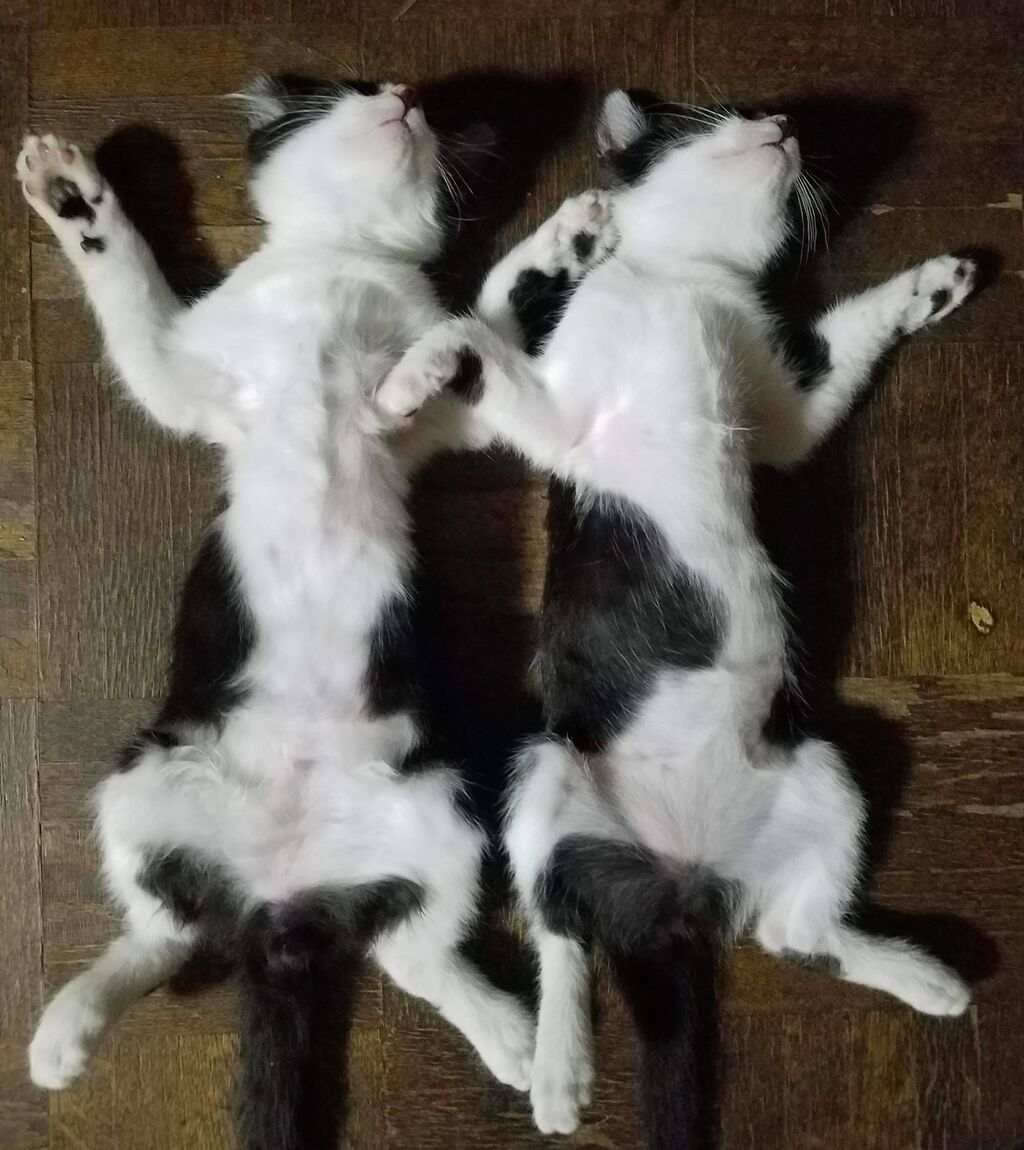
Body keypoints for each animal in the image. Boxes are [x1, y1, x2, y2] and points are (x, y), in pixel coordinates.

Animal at [19, 77, 537, 1149]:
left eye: (430, 120)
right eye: (349, 89)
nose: (402, 96)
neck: (337, 261)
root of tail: (281, 905)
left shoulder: (438, 422)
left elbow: (477, 330)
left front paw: (573, 239)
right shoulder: (189, 375)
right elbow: (133, 298)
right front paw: (72, 193)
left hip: (444, 805)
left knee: (411, 951)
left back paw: (510, 1034)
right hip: (147, 778)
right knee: (161, 931)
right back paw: (68, 1028)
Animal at [377, 90, 979, 1147]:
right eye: (712, 115)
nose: (781, 121)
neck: (681, 278)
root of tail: (679, 882)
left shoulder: (784, 418)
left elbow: (839, 345)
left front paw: (929, 288)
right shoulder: (561, 423)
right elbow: (468, 336)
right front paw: (407, 378)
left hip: (820, 771)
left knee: (790, 932)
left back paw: (926, 976)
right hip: (544, 767)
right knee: (561, 930)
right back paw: (558, 1070)